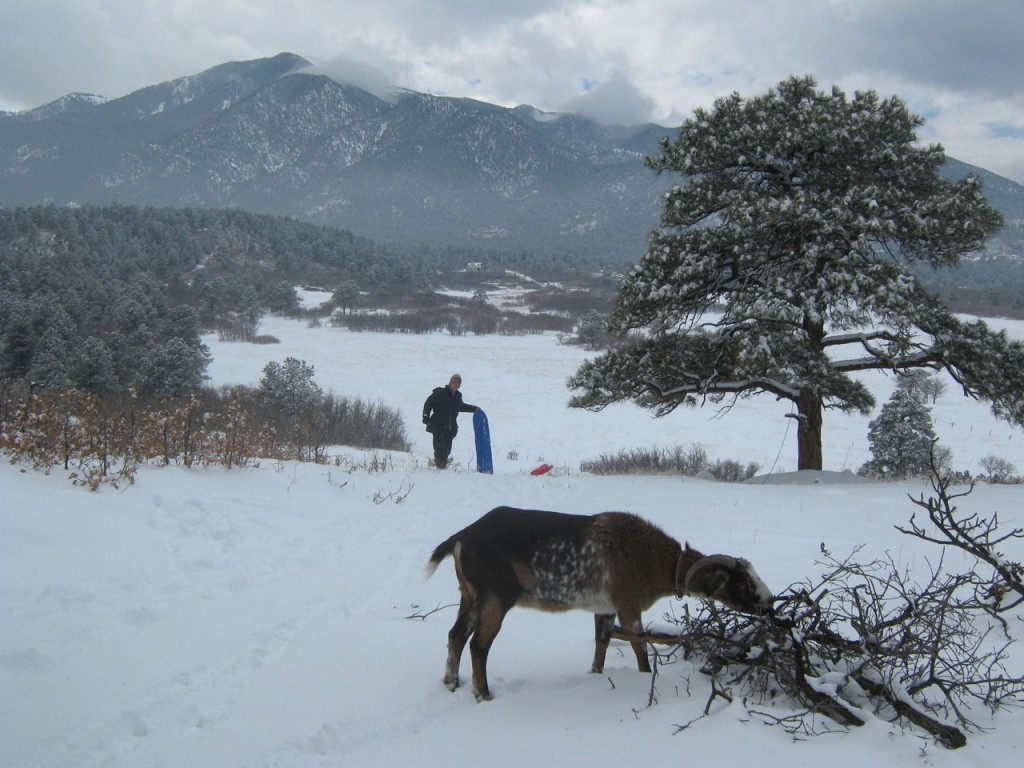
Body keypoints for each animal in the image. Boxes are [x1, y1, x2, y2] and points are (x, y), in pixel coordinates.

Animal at [425, 507, 774, 700]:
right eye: (742, 583)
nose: (769, 604)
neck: (651, 559)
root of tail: (461, 538)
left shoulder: (604, 608)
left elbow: (602, 643)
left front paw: (595, 675)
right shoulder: (627, 604)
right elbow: (638, 646)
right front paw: (644, 678)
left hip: (470, 596)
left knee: (456, 636)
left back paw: (452, 684)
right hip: (495, 597)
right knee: (479, 645)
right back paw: (483, 694)